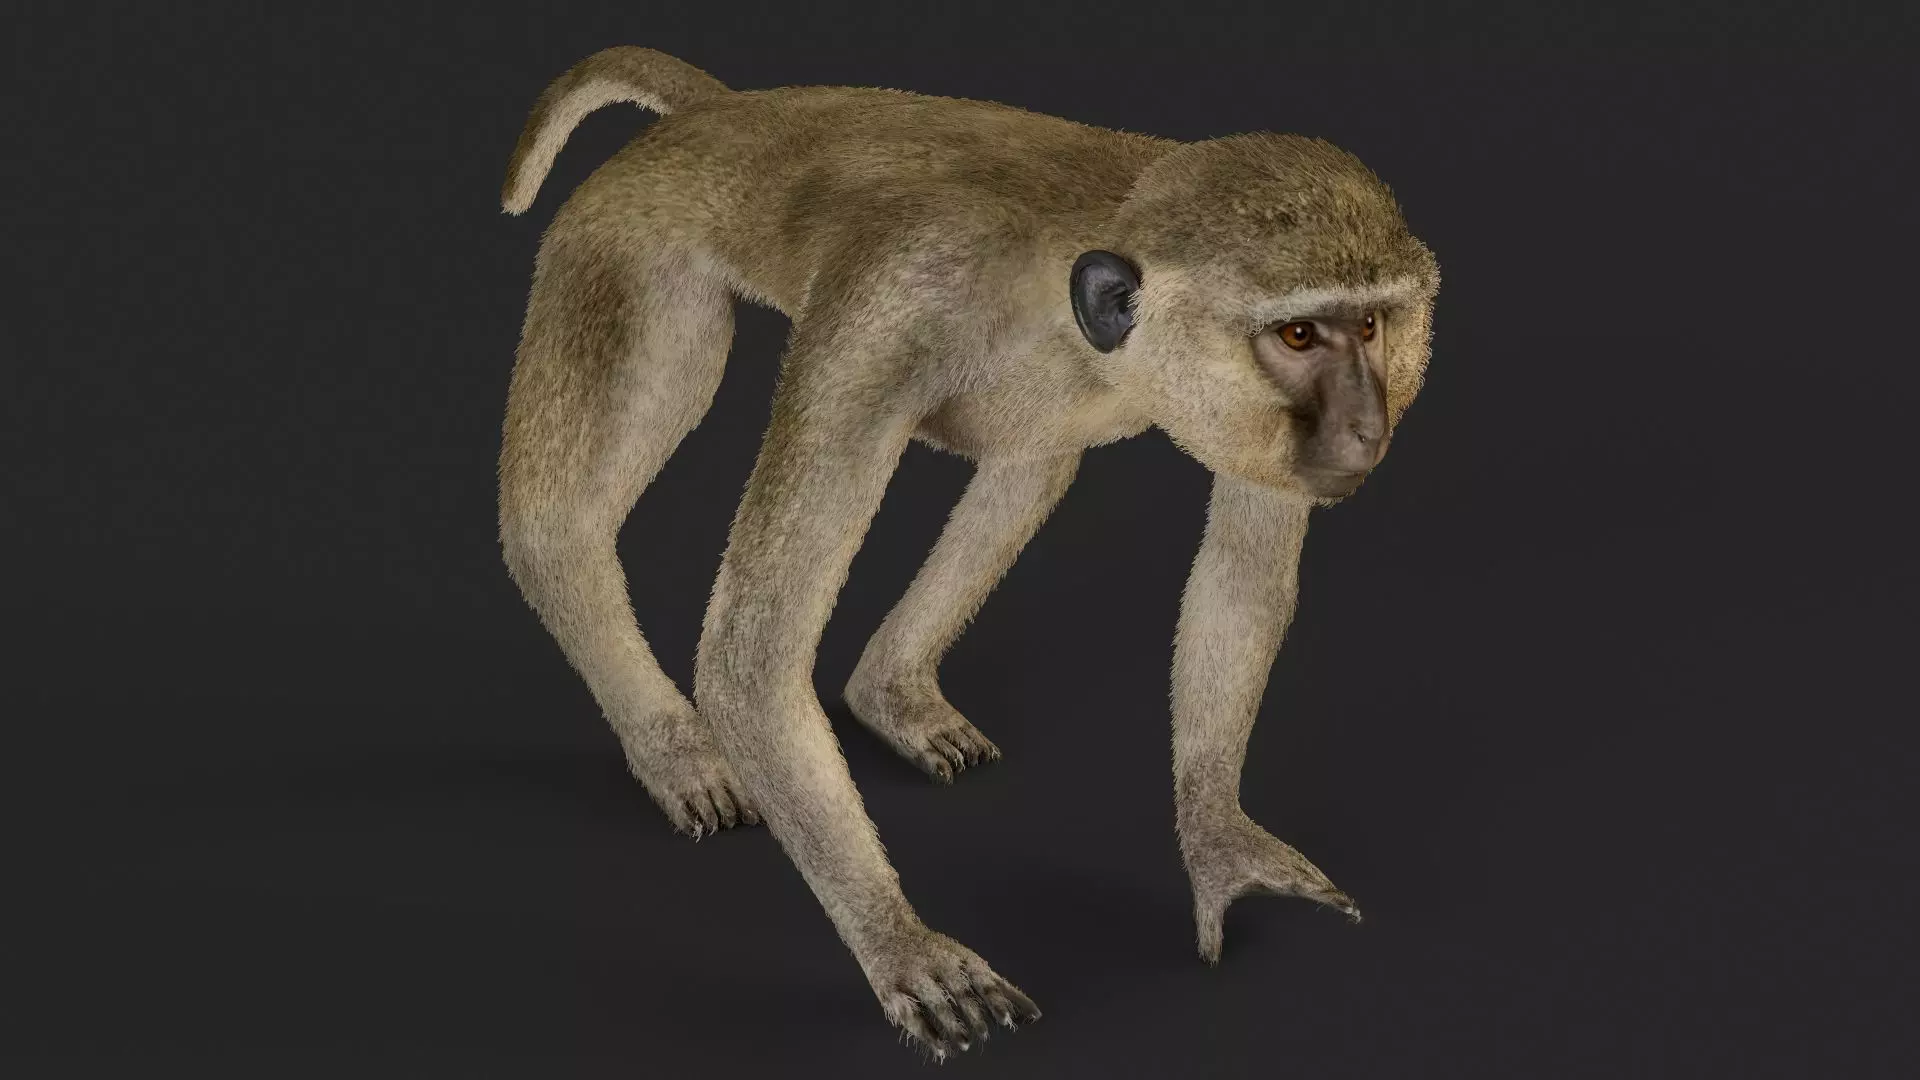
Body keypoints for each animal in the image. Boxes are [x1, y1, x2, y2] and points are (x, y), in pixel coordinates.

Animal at [496, 46, 1439, 1059]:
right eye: (1299, 334)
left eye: (1372, 325)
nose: (1366, 427)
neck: (1072, 299)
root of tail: (718, 116)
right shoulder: (884, 324)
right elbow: (752, 656)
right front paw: (903, 945)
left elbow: (1239, 582)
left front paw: (1219, 842)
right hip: (624, 243)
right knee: (555, 530)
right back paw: (671, 745)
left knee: (1034, 464)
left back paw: (889, 690)